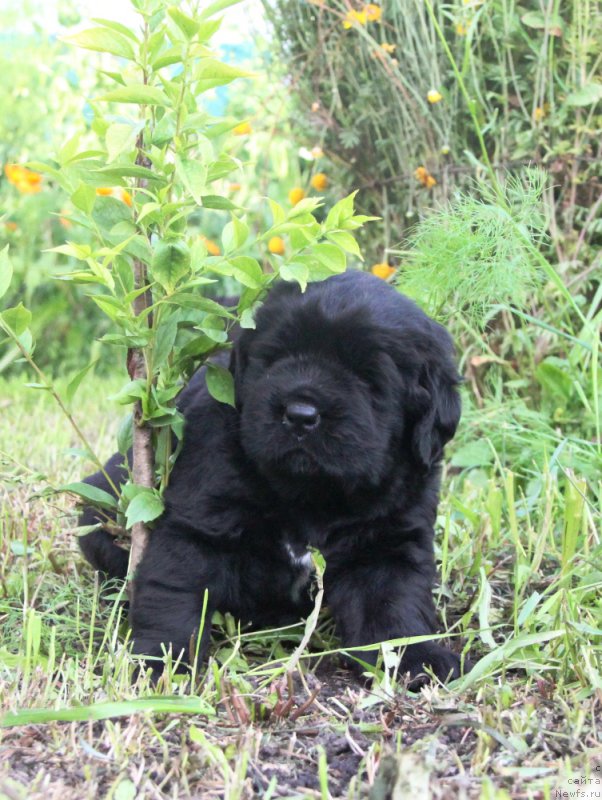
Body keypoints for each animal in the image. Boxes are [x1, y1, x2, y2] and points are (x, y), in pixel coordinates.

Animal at [79, 270, 462, 680]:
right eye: (277, 359)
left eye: (367, 375)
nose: (300, 414)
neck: (312, 495)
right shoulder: (199, 524)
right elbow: (173, 591)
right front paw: (159, 660)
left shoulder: (388, 544)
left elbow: (392, 608)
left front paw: (417, 659)